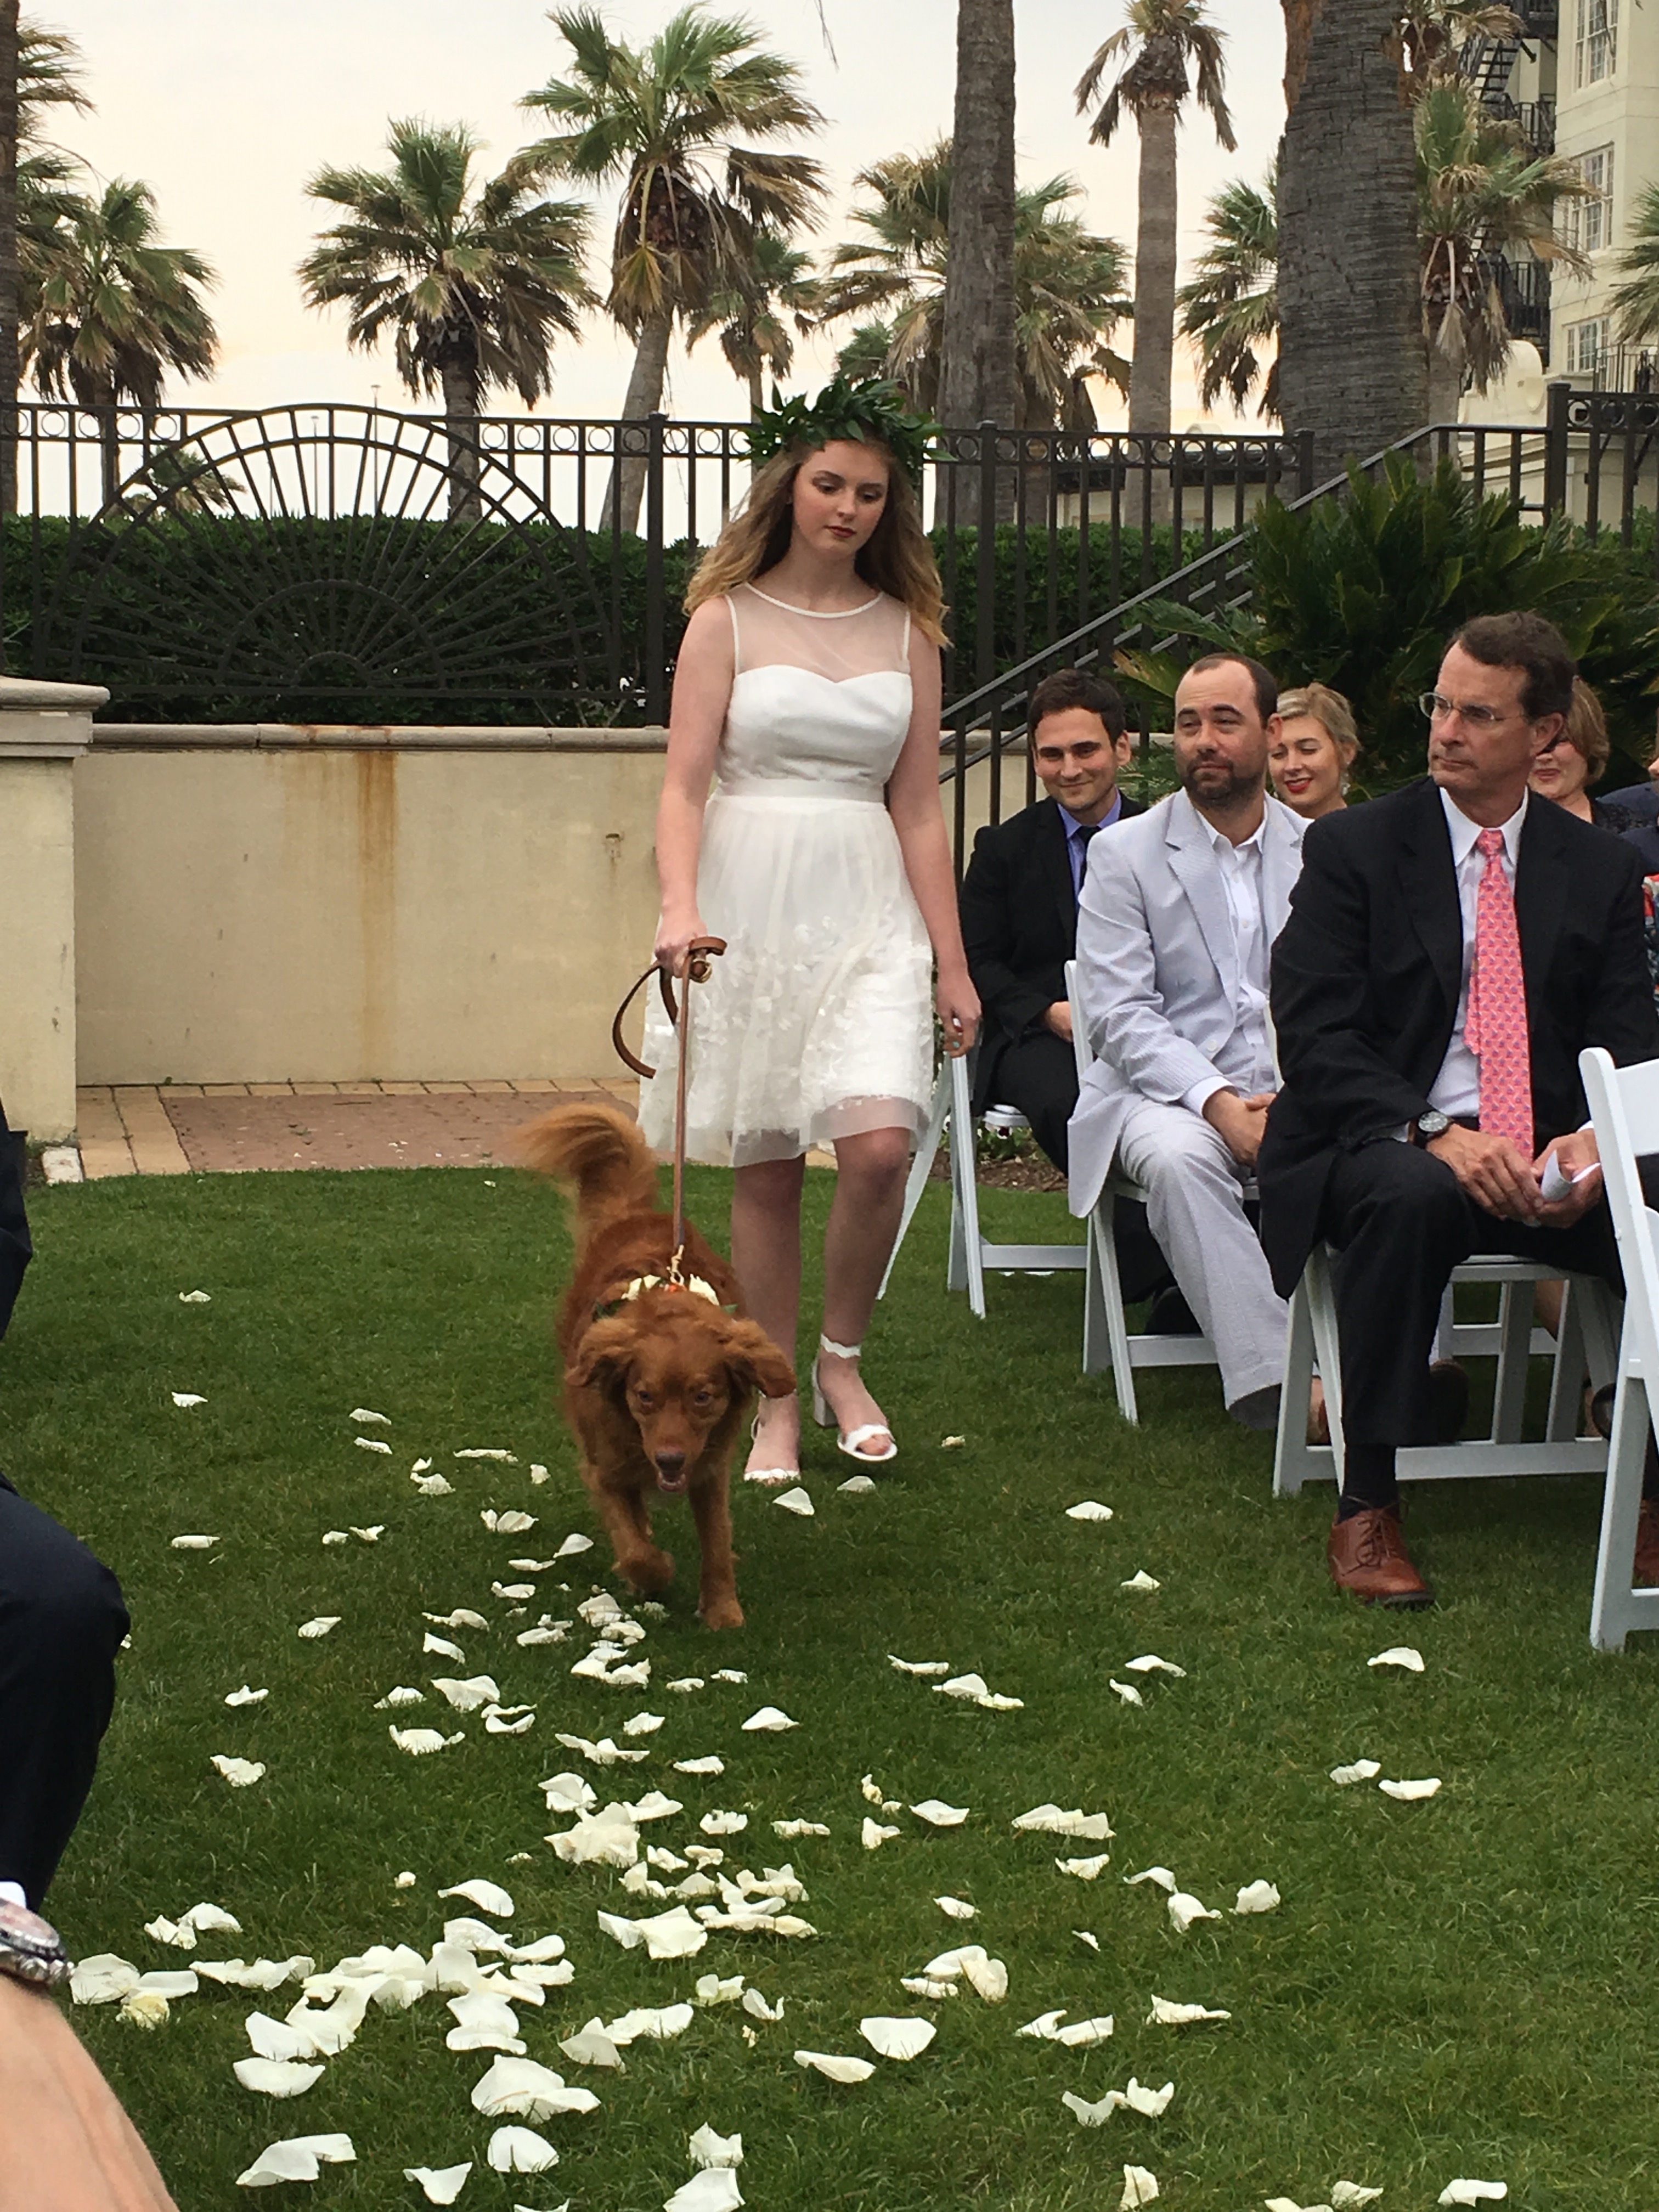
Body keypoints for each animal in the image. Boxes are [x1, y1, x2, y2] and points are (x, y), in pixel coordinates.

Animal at [517, 1103, 796, 1630]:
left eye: (703, 1397)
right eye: (643, 1396)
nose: (668, 1460)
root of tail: (637, 1215)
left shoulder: (708, 1469)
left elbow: (717, 1541)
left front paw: (722, 1608)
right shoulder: (606, 1468)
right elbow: (635, 1549)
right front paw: (653, 1573)